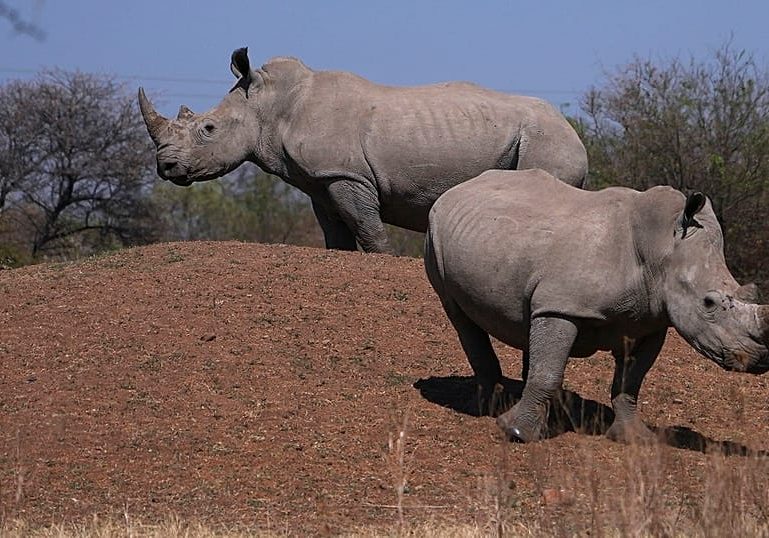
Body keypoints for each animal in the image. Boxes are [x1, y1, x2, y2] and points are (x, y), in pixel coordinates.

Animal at [138, 48, 588, 253]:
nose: (166, 167)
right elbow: (335, 233)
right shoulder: (320, 181)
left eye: (208, 129)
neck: (271, 106)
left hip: (546, 140)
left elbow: (369, 230)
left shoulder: (345, 174)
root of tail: (575, 134)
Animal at [424, 168, 769, 443]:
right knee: (459, 314)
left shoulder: (650, 321)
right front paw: (515, 433)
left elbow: (630, 381)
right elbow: (549, 371)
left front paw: (633, 438)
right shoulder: (562, 306)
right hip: (434, 230)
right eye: (708, 303)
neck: (660, 248)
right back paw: (490, 407)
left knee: (530, 326)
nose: (759, 360)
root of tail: (463, 185)